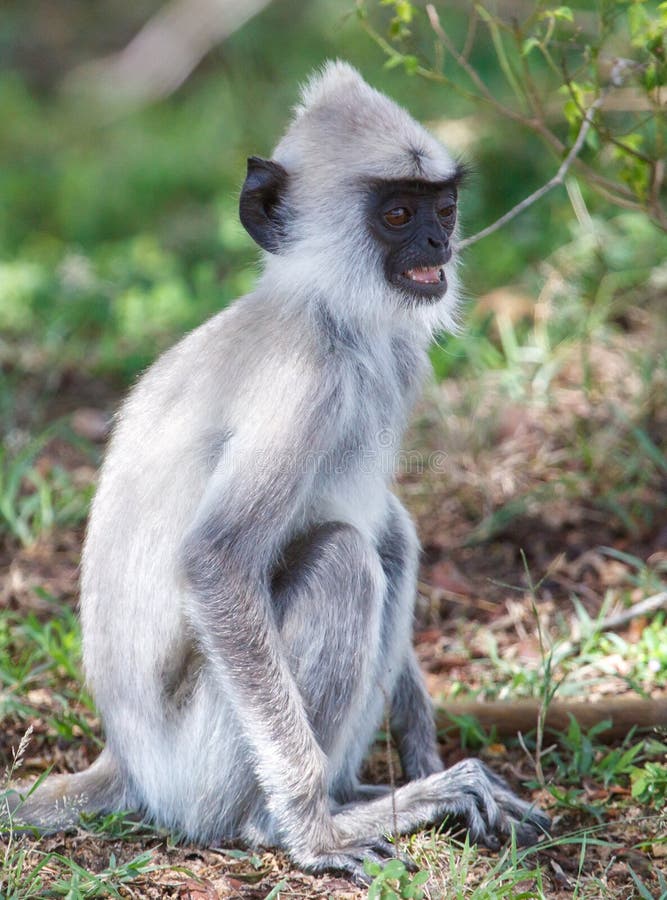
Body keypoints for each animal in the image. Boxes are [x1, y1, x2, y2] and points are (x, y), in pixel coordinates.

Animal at [7, 62, 549, 882]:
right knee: (347, 559)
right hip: (201, 766)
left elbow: (383, 517)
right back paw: (292, 821)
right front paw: (313, 833)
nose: (438, 241)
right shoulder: (305, 380)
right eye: (397, 214)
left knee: (390, 538)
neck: (333, 316)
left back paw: (371, 790)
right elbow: (217, 562)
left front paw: (421, 746)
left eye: (444, 207)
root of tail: (125, 760)